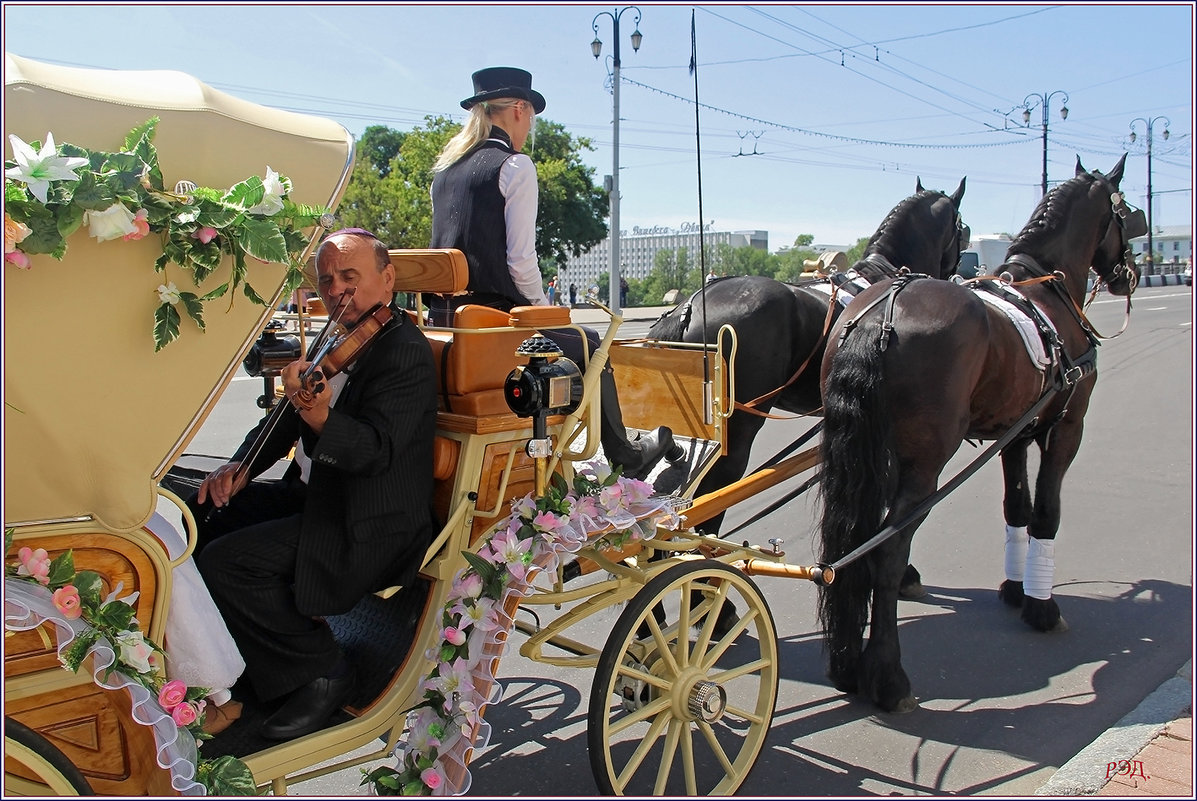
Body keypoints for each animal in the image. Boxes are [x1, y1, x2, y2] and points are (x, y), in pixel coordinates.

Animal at [823, 155, 1139, 713]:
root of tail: (885, 309)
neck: (1043, 288)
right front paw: (1042, 606)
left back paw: (848, 664)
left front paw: (1016, 588)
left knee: (854, 544)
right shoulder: (1066, 425)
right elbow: (1046, 513)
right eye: (1126, 215)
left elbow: (1017, 508)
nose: (1131, 272)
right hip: (927, 463)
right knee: (886, 550)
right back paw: (887, 675)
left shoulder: (1014, 432)